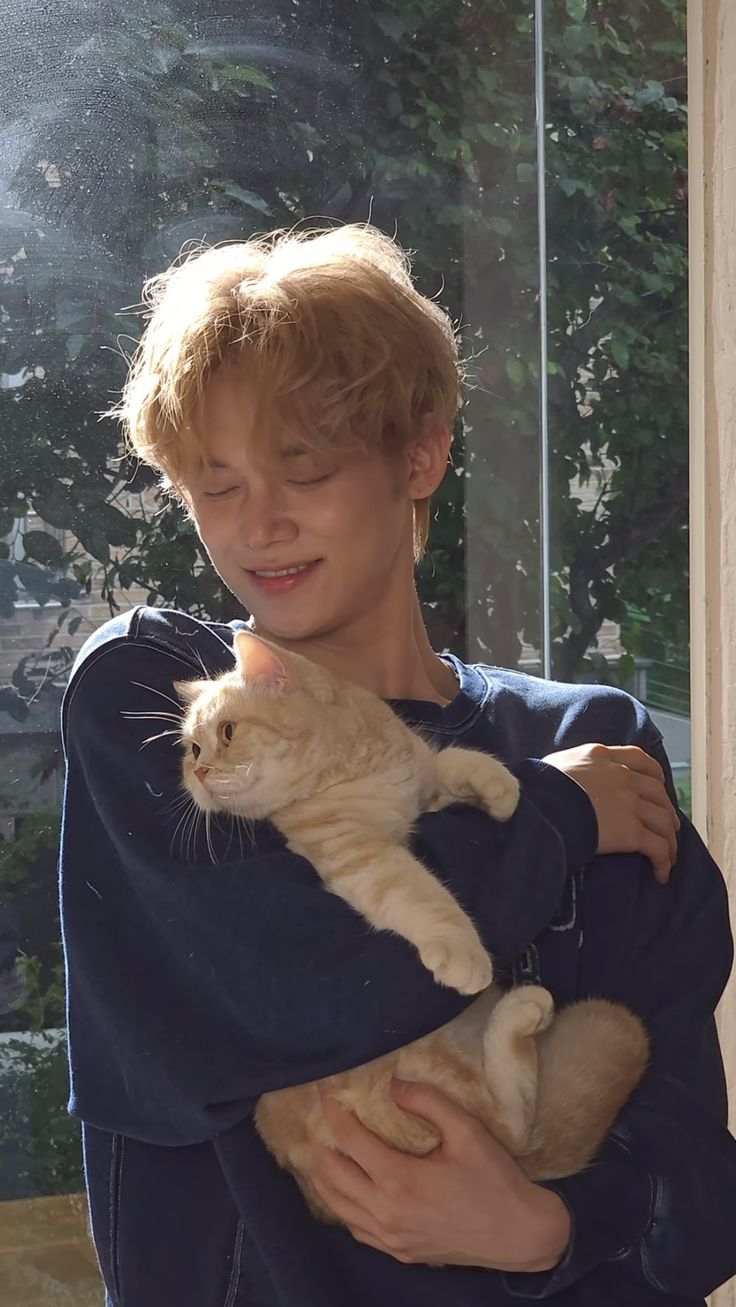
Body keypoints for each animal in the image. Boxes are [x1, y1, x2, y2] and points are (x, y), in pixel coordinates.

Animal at [175, 632, 648, 1223]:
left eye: (226, 734)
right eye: (192, 749)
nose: (198, 774)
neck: (356, 763)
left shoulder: (421, 783)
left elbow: (450, 760)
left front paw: (501, 789)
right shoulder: (359, 854)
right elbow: (421, 894)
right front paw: (461, 951)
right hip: (411, 1075)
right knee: (508, 1128)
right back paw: (523, 1011)